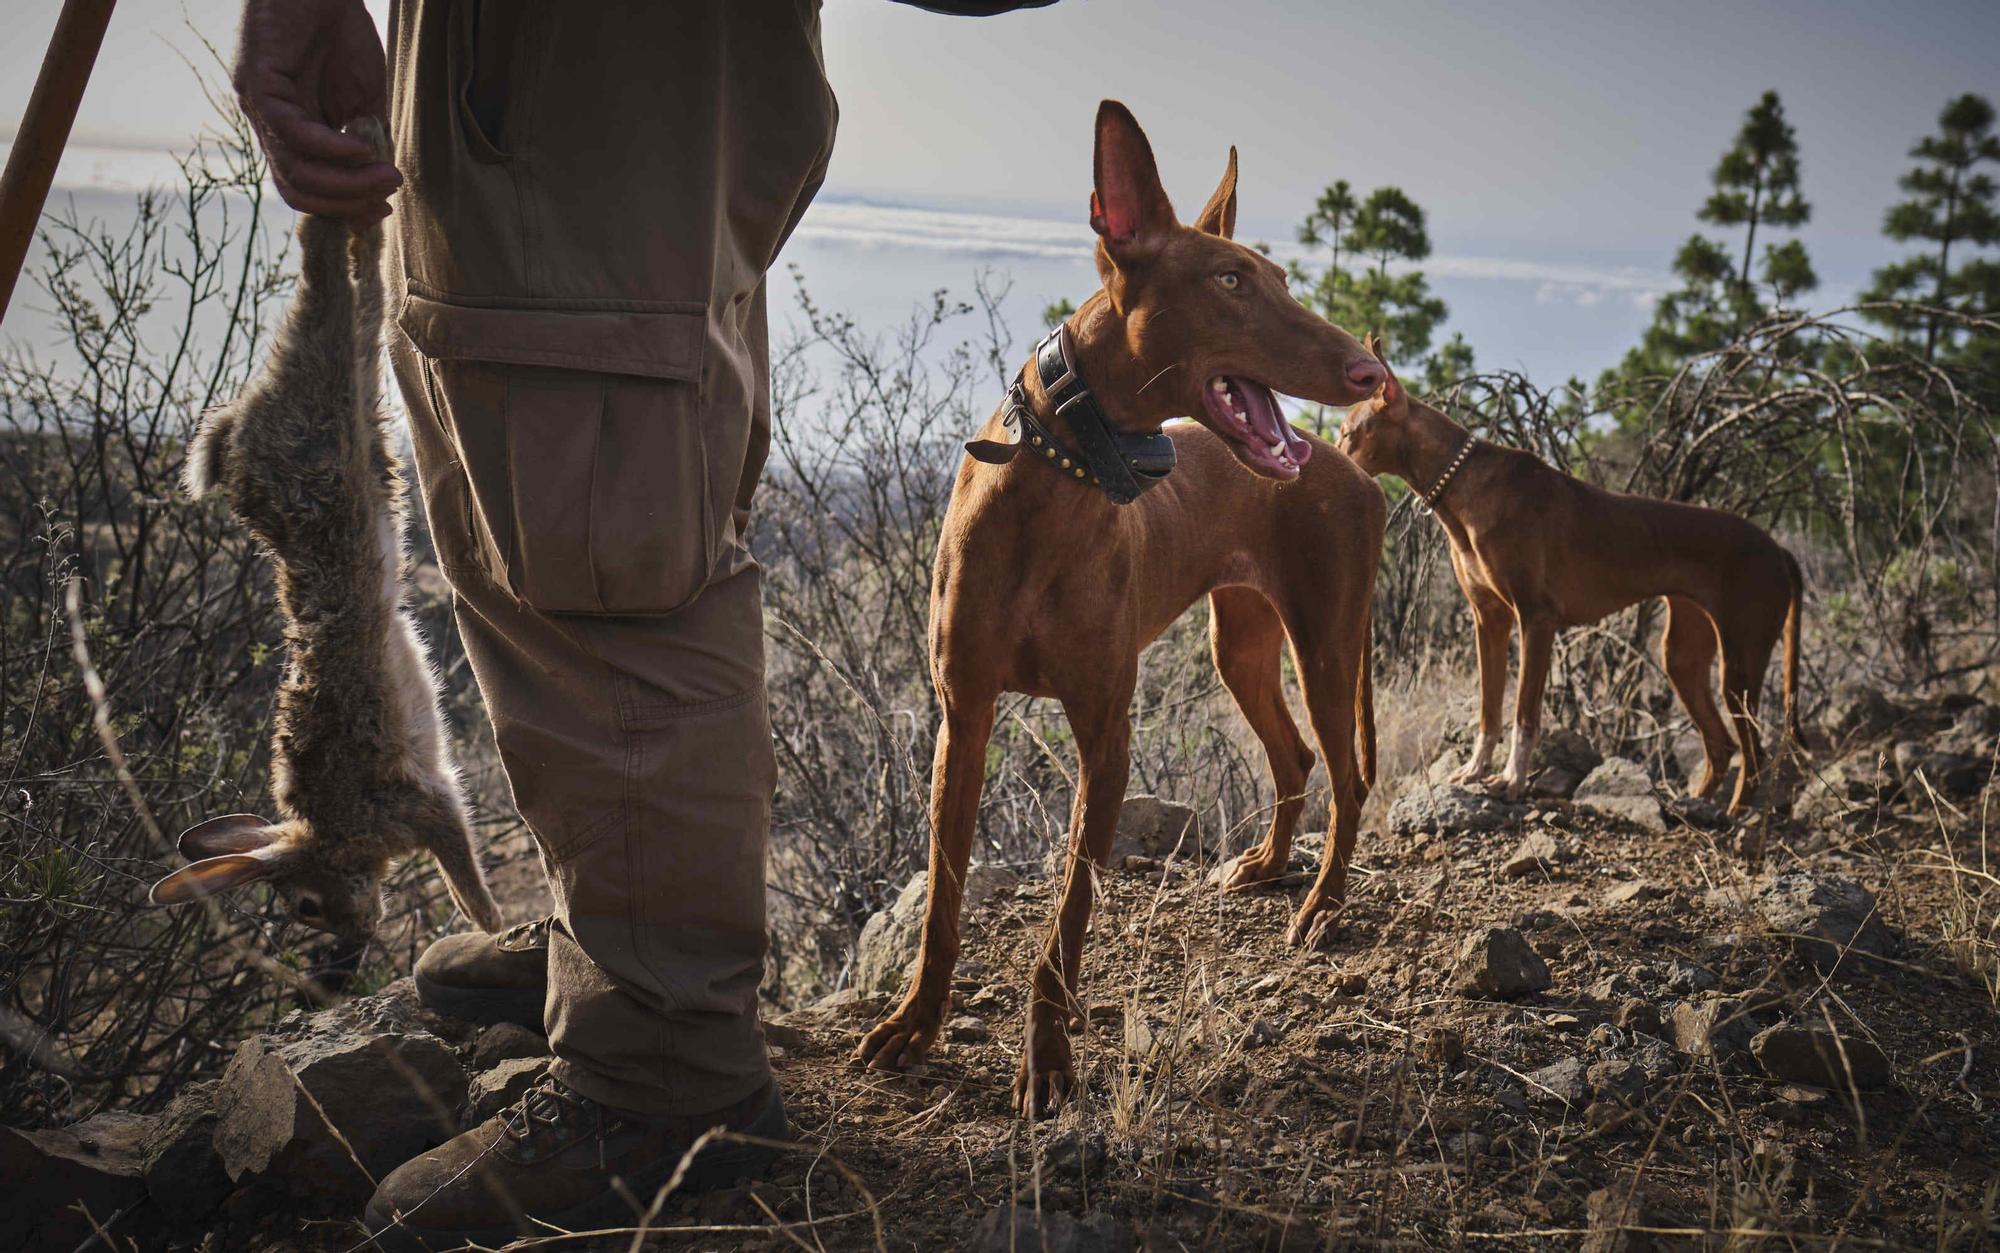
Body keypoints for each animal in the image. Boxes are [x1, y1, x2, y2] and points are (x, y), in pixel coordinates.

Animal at [856, 100, 1392, 1112]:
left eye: (1281, 280)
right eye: (1230, 279)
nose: (1370, 373)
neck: (1060, 476)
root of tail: (1346, 466)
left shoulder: (1105, 731)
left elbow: (1066, 922)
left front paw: (1047, 1061)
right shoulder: (963, 716)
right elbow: (943, 902)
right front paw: (915, 1022)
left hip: (1326, 643)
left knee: (1348, 778)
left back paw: (1320, 905)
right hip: (1242, 645)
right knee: (1297, 757)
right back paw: (1269, 865)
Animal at [1336, 344, 1808, 808]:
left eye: (1346, 433)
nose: (1329, 456)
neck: (1464, 484)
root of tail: (1778, 549)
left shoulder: (1536, 618)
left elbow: (1525, 714)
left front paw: (1512, 781)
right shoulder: (1488, 620)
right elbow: (1489, 709)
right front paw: (1475, 771)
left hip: (1740, 662)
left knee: (1754, 753)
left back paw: (1735, 817)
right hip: (1683, 656)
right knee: (1721, 745)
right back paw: (1697, 806)